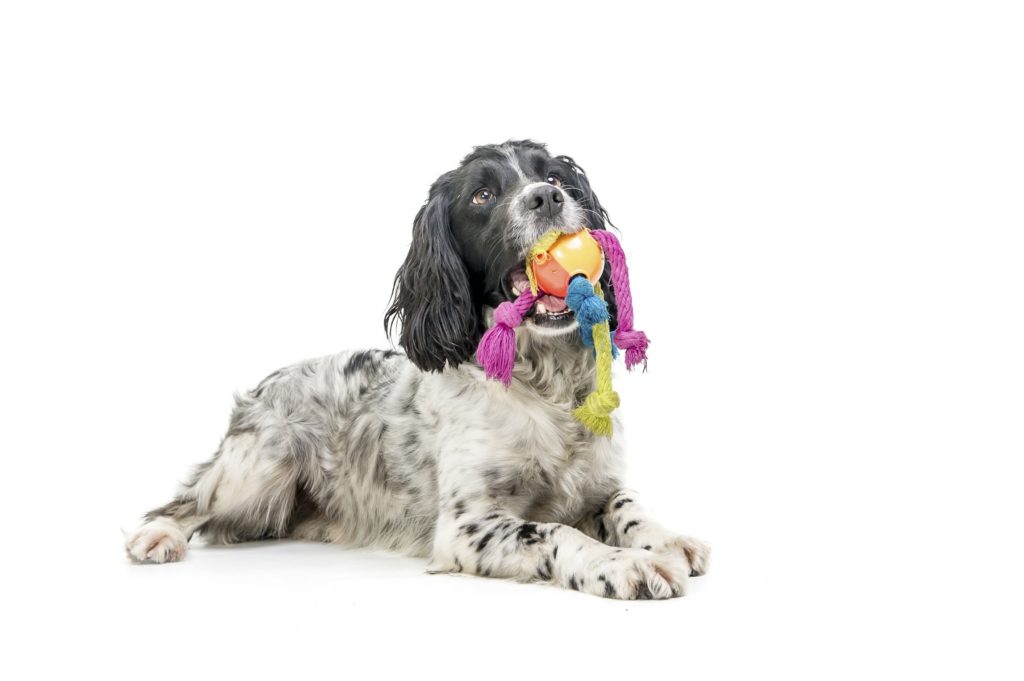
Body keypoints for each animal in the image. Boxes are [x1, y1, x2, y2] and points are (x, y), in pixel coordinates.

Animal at [123, 140, 708, 598]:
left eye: (556, 176)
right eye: (482, 195)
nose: (547, 197)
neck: (545, 387)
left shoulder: (598, 485)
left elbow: (630, 506)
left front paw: (669, 541)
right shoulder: (468, 526)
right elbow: (557, 534)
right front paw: (626, 564)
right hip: (258, 468)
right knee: (187, 502)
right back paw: (157, 537)